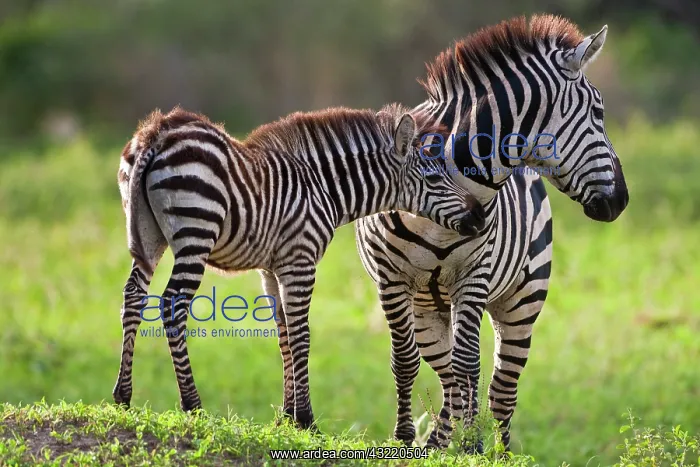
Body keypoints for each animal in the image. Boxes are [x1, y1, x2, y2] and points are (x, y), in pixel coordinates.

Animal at [113, 104, 486, 429]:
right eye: (435, 180)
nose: (480, 217)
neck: (322, 187)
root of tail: (156, 133)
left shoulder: (272, 269)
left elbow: (284, 335)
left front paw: (287, 416)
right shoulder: (301, 260)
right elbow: (302, 335)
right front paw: (306, 419)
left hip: (148, 235)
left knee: (132, 296)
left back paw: (123, 396)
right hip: (196, 233)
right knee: (172, 305)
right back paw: (192, 404)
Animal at [354, 15, 629, 451]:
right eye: (599, 113)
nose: (621, 200)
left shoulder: (474, 275)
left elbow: (470, 362)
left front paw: (471, 448)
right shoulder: (390, 279)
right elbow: (405, 360)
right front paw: (405, 439)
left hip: (522, 299)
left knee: (500, 386)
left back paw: (497, 451)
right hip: (427, 307)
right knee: (447, 374)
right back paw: (437, 444)